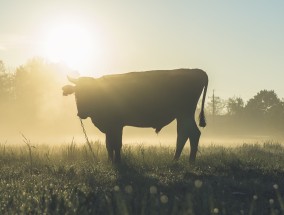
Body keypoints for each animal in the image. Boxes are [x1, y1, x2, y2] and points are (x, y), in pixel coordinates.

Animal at [62, 69, 209, 163]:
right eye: (77, 93)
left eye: (90, 92)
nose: (81, 113)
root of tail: (196, 71)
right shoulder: (110, 127)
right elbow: (109, 144)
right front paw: (110, 161)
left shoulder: (116, 125)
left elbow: (116, 144)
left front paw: (118, 162)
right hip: (182, 116)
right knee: (185, 134)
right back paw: (178, 160)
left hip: (185, 114)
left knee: (191, 134)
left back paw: (187, 161)